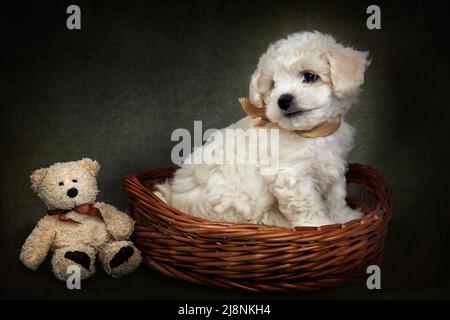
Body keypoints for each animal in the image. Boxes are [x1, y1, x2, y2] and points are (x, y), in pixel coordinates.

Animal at [155, 31, 370, 228]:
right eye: (273, 85)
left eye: (309, 76)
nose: (283, 100)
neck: (311, 133)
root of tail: (175, 199)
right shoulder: (292, 177)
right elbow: (307, 205)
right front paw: (318, 225)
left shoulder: (335, 168)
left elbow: (336, 197)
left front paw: (343, 218)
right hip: (231, 195)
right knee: (250, 216)